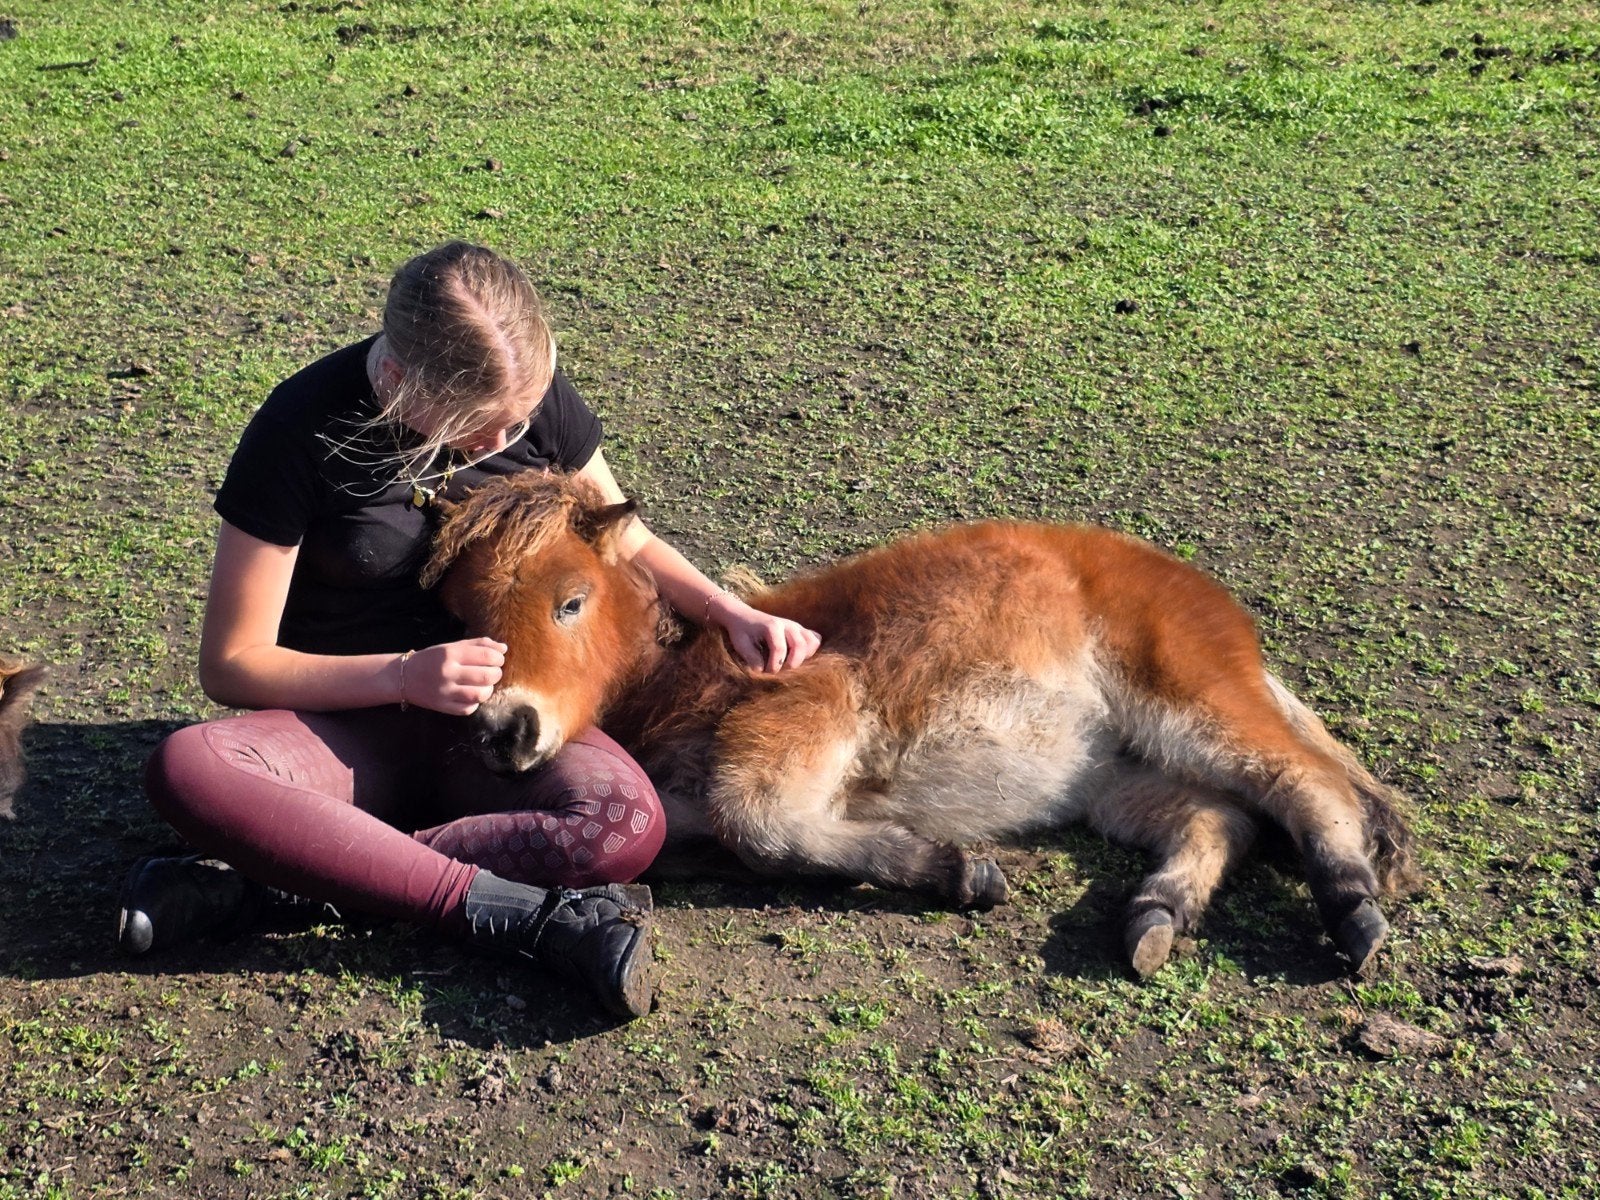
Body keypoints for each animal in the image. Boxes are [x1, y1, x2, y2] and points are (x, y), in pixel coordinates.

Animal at [422, 473, 1419, 978]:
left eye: (571, 602)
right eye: (457, 615)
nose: (502, 731)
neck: (686, 671)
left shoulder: (818, 711)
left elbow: (760, 822)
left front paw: (956, 869)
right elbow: (731, 841)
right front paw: (942, 866)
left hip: (1186, 699)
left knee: (1303, 782)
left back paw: (1352, 909)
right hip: (1120, 776)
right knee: (1223, 818)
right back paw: (1155, 915)